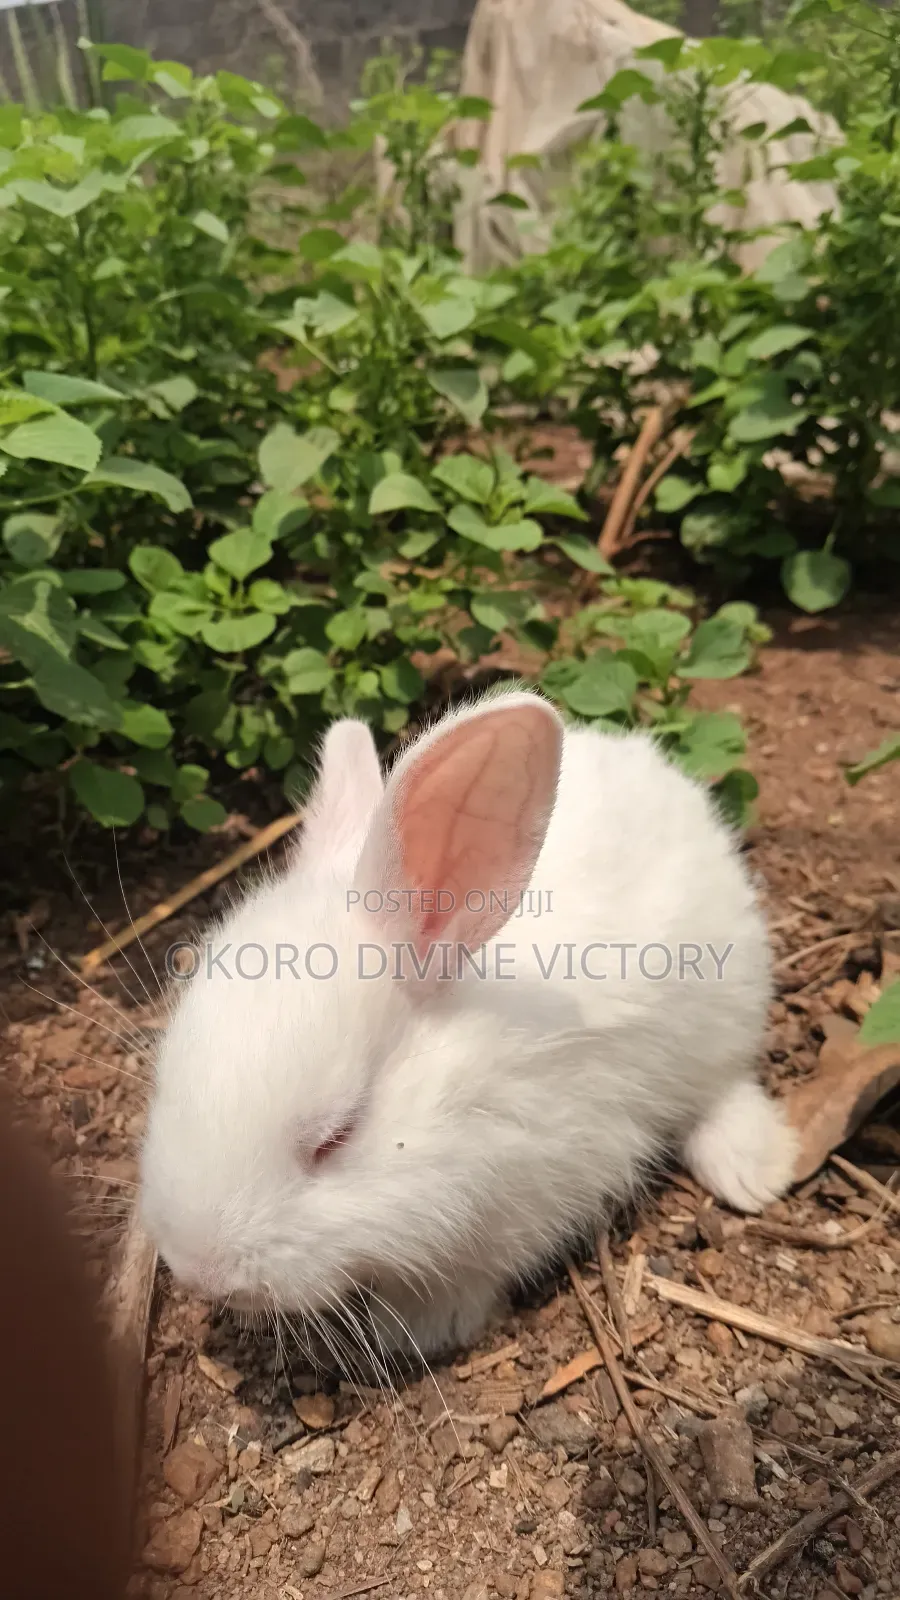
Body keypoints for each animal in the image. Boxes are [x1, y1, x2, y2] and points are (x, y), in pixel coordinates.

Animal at [139, 688, 797, 1363]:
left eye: (336, 1137)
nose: (200, 1271)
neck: (458, 1088)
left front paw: (419, 1327)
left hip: (724, 1011)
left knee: (725, 1088)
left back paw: (756, 1171)